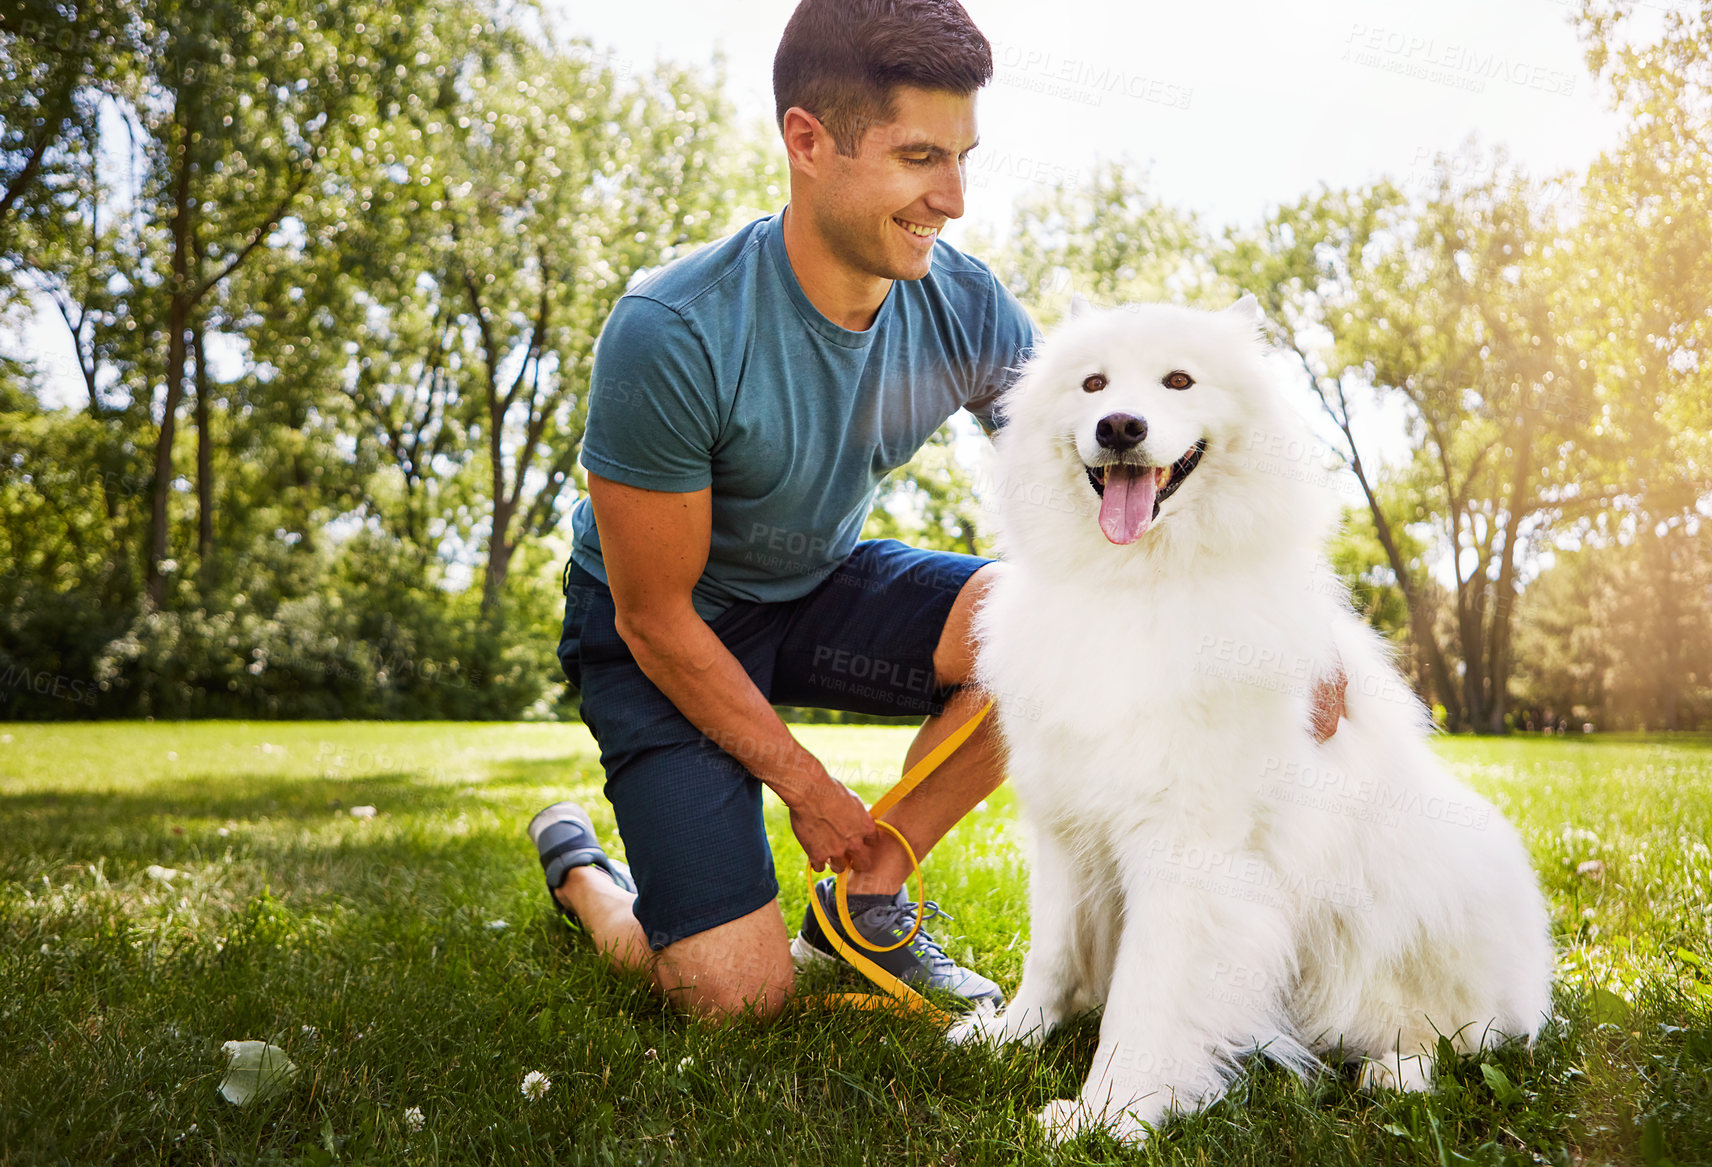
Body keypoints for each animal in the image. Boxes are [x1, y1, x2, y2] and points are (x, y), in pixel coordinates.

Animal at [958, 296, 1561, 1143]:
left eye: (1179, 380)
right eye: (1093, 383)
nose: (1120, 426)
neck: (1135, 584)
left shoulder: (1185, 848)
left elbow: (1146, 992)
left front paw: (1112, 1111)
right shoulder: (1066, 827)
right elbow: (1053, 954)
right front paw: (1011, 1034)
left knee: (1455, 1034)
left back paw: (1394, 1072)